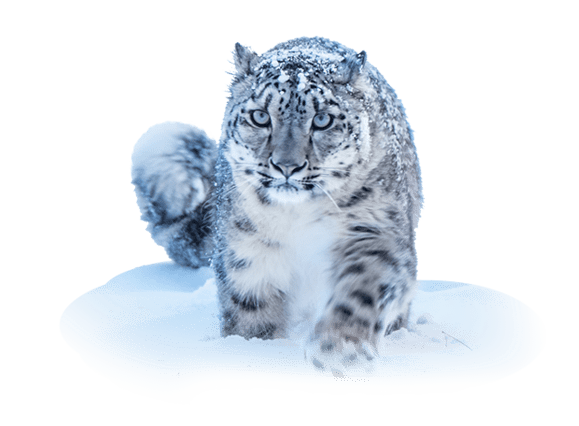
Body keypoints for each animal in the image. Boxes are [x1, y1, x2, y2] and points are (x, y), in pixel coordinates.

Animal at [129, 35, 424, 376]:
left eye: (322, 120)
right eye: (260, 116)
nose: (286, 166)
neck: (296, 217)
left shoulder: (374, 233)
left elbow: (361, 288)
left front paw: (340, 351)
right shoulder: (249, 251)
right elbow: (250, 309)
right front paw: (253, 351)